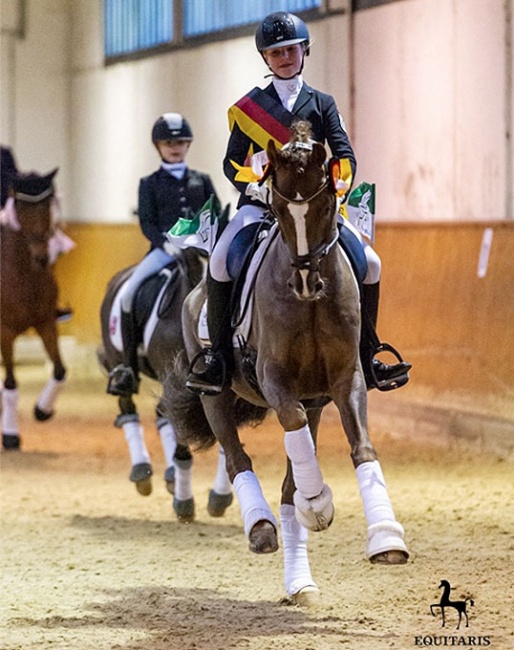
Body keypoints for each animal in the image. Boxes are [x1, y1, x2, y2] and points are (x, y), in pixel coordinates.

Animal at [97, 248, 232, 520]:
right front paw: (184, 502)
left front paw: (219, 497)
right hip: (120, 361)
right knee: (128, 408)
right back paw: (142, 470)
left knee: (162, 413)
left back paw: (170, 476)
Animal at [168, 121, 408, 604]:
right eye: (279, 208)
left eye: (325, 204)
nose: (305, 282)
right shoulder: (275, 379)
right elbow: (291, 426)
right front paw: (318, 503)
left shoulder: (346, 378)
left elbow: (362, 447)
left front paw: (385, 537)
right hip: (215, 396)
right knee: (237, 458)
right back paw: (261, 526)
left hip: (315, 399)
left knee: (286, 483)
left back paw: (301, 582)